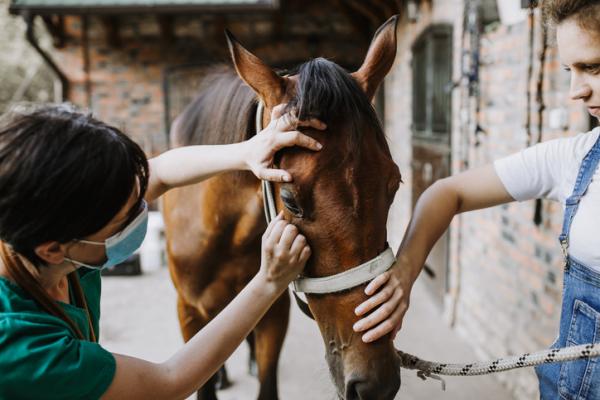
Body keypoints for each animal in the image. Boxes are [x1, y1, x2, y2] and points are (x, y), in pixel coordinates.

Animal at [162, 15, 400, 400]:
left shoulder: (274, 309)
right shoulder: (188, 312)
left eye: (394, 184)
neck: (222, 230)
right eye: (290, 200)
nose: (376, 384)